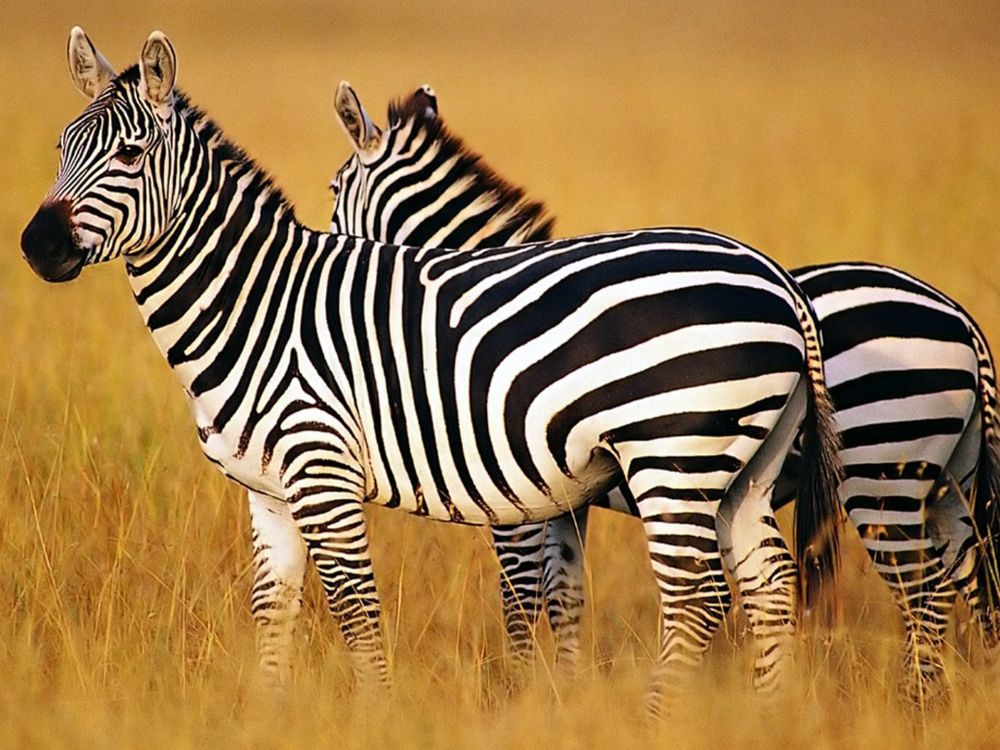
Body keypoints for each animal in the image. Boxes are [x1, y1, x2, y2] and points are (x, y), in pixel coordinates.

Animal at [20, 29, 844, 715]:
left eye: (130, 155)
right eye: (61, 147)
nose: (35, 245)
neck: (259, 304)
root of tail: (777, 278)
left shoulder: (335, 476)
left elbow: (364, 611)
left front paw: (391, 718)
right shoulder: (270, 494)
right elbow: (273, 615)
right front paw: (268, 718)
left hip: (675, 454)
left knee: (697, 598)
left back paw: (656, 721)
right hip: (743, 469)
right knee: (769, 586)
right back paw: (770, 717)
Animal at [326, 83, 1000, 703]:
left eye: (334, 190)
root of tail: (961, 319)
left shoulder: (518, 493)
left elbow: (522, 597)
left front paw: (518, 692)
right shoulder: (562, 497)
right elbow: (565, 593)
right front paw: (564, 694)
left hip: (879, 470)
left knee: (924, 593)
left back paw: (916, 705)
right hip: (946, 481)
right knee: (975, 581)